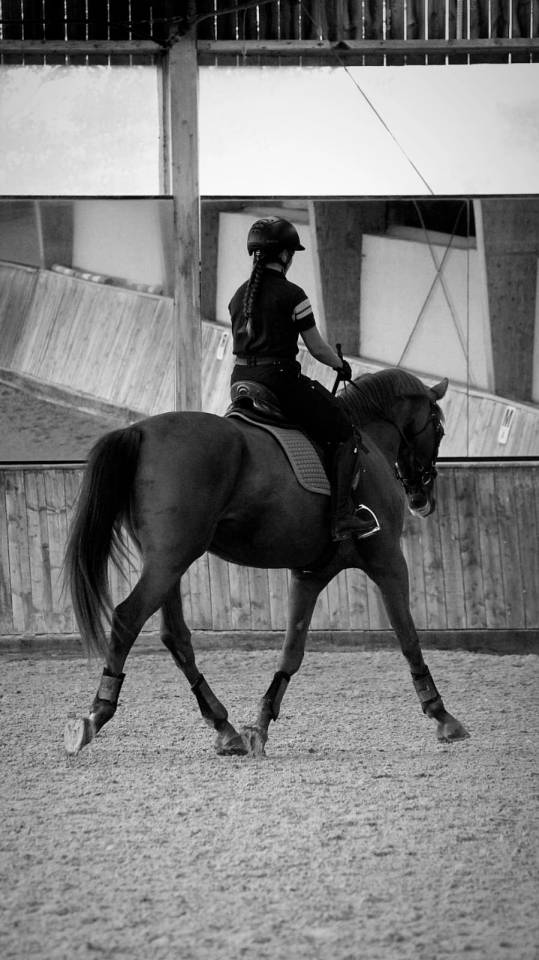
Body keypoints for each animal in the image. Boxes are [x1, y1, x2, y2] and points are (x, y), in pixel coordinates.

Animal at [63, 367, 469, 757]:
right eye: (439, 428)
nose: (422, 498)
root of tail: (140, 430)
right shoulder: (388, 561)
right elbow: (408, 637)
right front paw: (442, 714)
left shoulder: (310, 574)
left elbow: (292, 652)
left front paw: (260, 726)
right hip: (169, 559)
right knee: (127, 618)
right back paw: (96, 714)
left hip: (168, 562)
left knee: (174, 636)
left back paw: (225, 728)